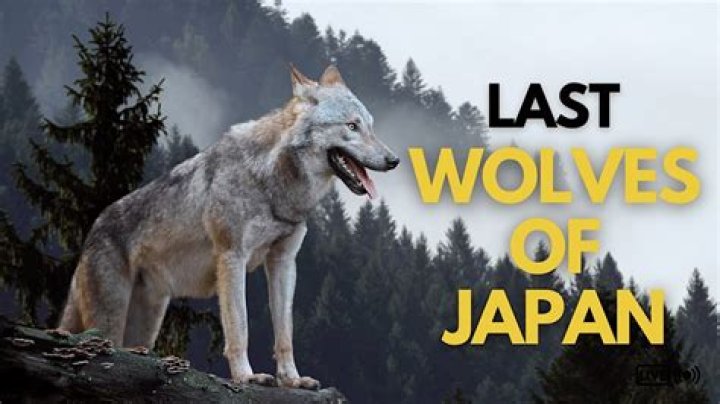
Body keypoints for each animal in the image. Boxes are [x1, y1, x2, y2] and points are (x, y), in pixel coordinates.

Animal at [59, 65, 399, 388]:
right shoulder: (232, 256)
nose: (394, 160)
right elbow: (240, 327)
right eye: (352, 126)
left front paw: (292, 380)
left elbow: (285, 334)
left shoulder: (284, 262)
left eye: (370, 126)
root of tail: (93, 230)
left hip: (145, 326)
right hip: (109, 322)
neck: (272, 183)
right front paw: (247, 377)